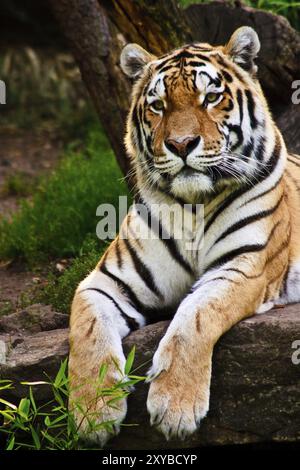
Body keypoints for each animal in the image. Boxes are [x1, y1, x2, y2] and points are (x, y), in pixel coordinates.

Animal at [68, 27, 300, 446]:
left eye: (210, 98)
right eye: (158, 105)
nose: (180, 144)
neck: (193, 205)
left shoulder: (243, 267)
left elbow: (195, 316)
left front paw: (175, 407)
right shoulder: (105, 281)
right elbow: (88, 331)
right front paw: (93, 413)